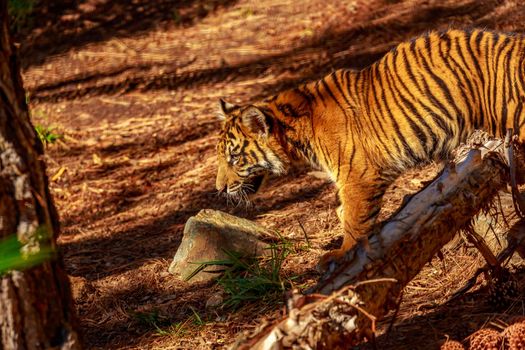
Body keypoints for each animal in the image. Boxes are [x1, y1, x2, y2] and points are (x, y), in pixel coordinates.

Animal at [212, 29, 524, 268]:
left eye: (235, 158)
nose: (219, 189)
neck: (294, 133)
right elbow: (344, 212)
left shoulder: (357, 177)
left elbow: (354, 217)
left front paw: (341, 253)